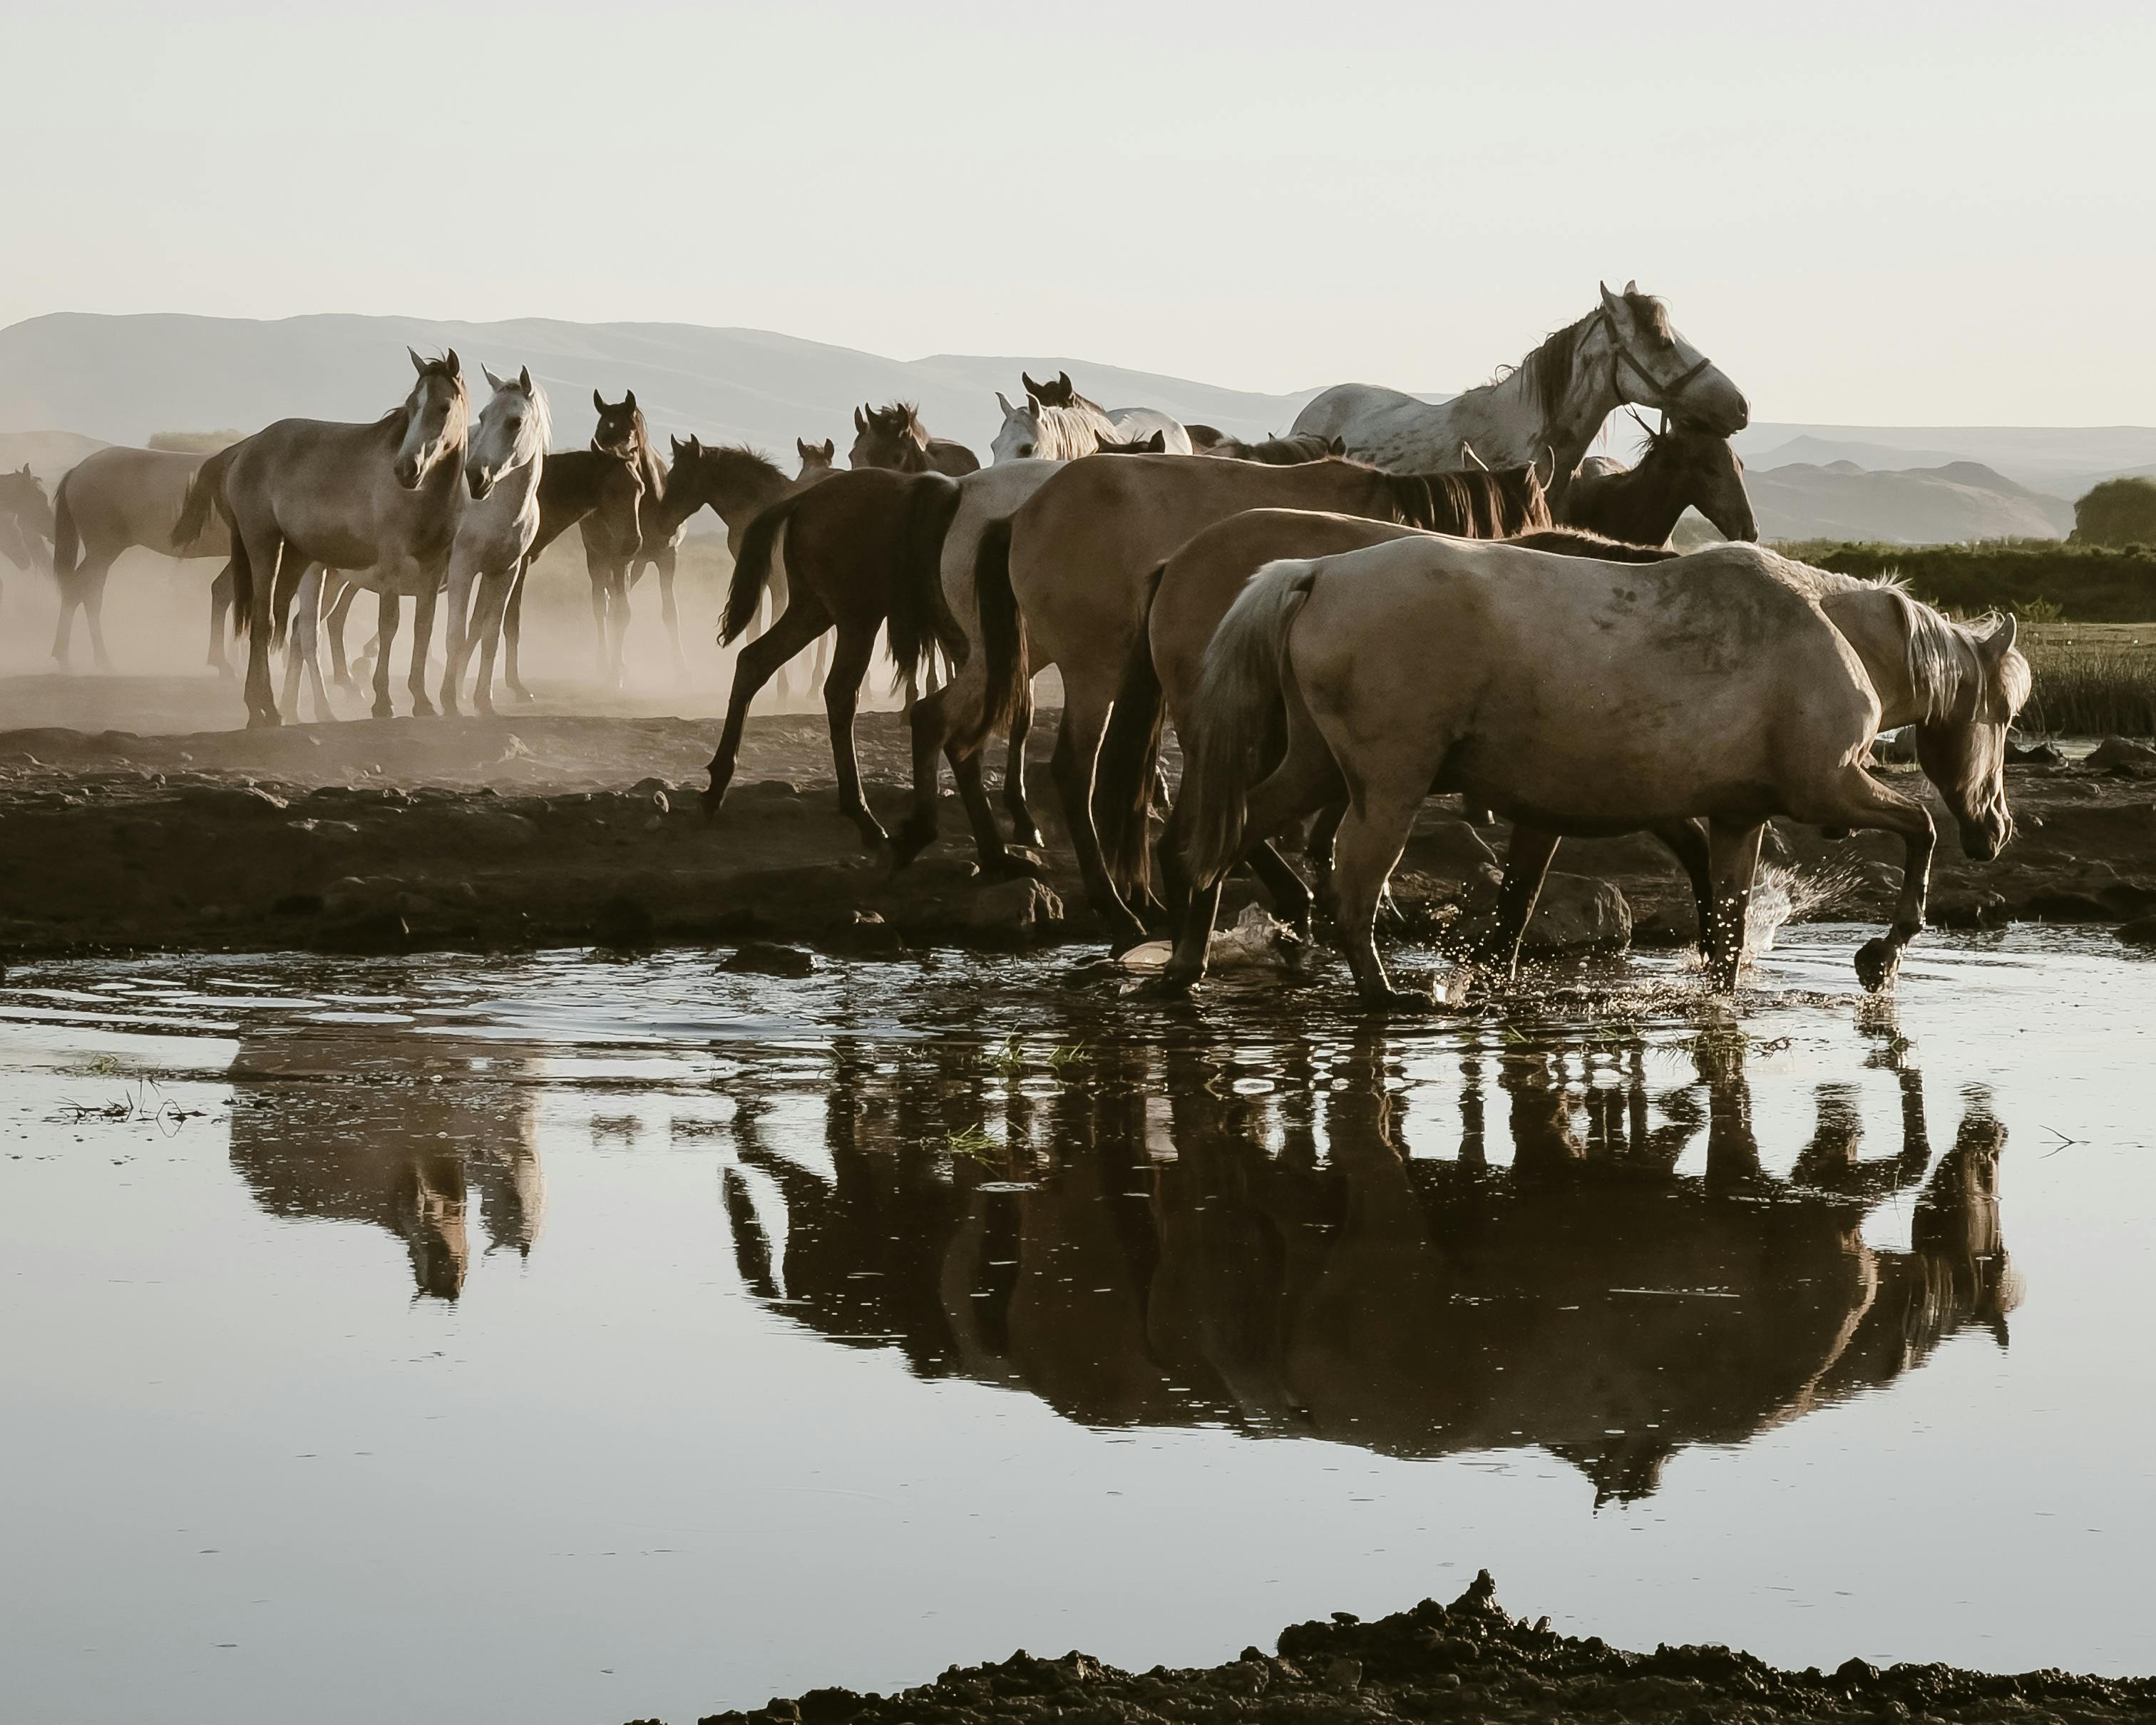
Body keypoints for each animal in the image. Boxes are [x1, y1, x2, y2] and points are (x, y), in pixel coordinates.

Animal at [48, 446, 234, 672]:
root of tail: (78, 470)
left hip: (103, 552)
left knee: (77, 591)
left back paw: (71, 657)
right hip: (102, 551)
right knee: (87, 594)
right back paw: (96, 660)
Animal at [174, 349, 470, 726]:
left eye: (444, 407)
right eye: (410, 405)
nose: (406, 469)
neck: (426, 495)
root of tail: (246, 448)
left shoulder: (432, 570)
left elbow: (423, 627)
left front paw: (422, 701)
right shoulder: (391, 563)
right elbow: (389, 624)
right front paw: (383, 702)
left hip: (300, 559)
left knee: (291, 627)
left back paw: (274, 707)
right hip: (265, 545)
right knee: (265, 621)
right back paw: (265, 707)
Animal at [701, 467, 964, 847]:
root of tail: (804, 500)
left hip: (812, 610)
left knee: (754, 661)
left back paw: (718, 785)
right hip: (858, 618)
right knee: (840, 692)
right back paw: (863, 816)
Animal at [1180, 539, 2028, 1009]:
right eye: (2005, 712)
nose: (1996, 828)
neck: (1830, 632)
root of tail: (1317, 571)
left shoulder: (1739, 817)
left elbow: (1726, 934)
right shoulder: (1829, 787)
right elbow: (1920, 828)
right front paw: (1882, 956)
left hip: (1317, 772)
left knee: (1220, 839)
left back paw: (1184, 967)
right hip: (1386, 792)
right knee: (1351, 893)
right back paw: (1388, 998)